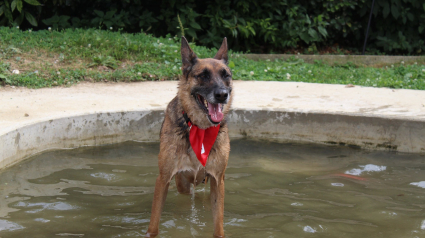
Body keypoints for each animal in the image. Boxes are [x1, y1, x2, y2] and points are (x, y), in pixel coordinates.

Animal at [145, 36, 232, 237]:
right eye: (203, 75)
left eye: (226, 75)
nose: (222, 95)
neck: (199, 128)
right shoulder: (164, 178)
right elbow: (153, 224)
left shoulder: (218, 180)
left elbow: (218, 225)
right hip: (182, 184)